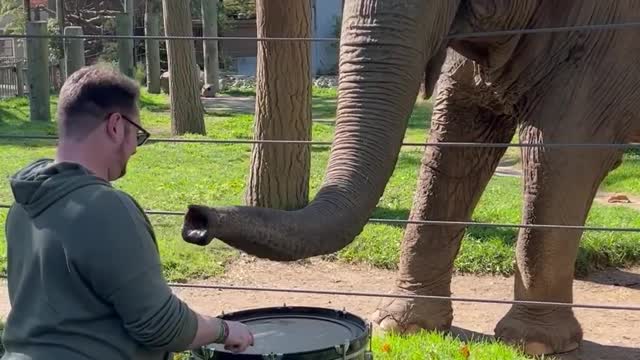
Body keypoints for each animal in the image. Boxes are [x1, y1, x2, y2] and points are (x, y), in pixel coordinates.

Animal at [180, 0, 640, 356]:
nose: (195, 219)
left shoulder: (608, 36)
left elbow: (559, 152)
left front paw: (532, 344)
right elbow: (454, 140)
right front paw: (401, 326)